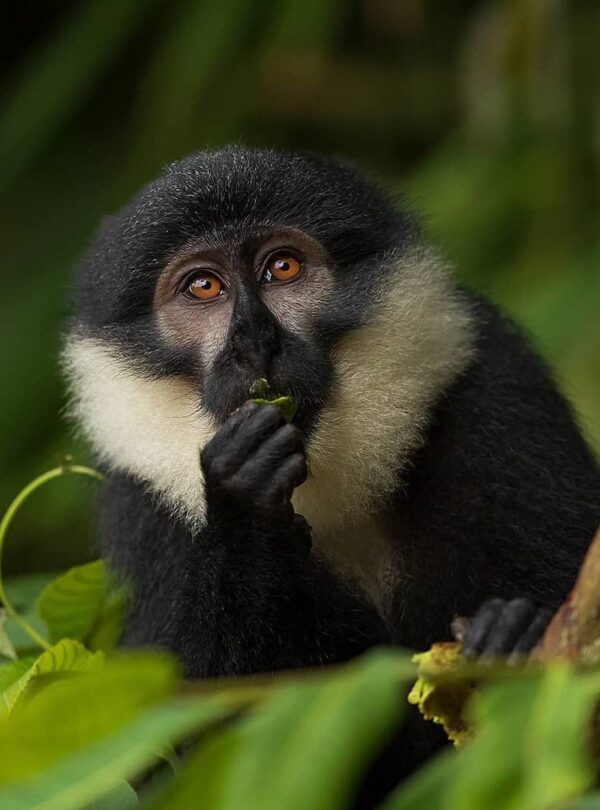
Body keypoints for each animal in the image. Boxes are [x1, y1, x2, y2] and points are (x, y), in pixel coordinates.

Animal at [63, 146, 600, 784]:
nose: (254, 339)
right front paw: (246, 512)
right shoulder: (141, 506)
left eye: (283, 267)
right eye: (203, 286)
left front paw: (510, 637)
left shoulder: (498, 385)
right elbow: (182, 759)